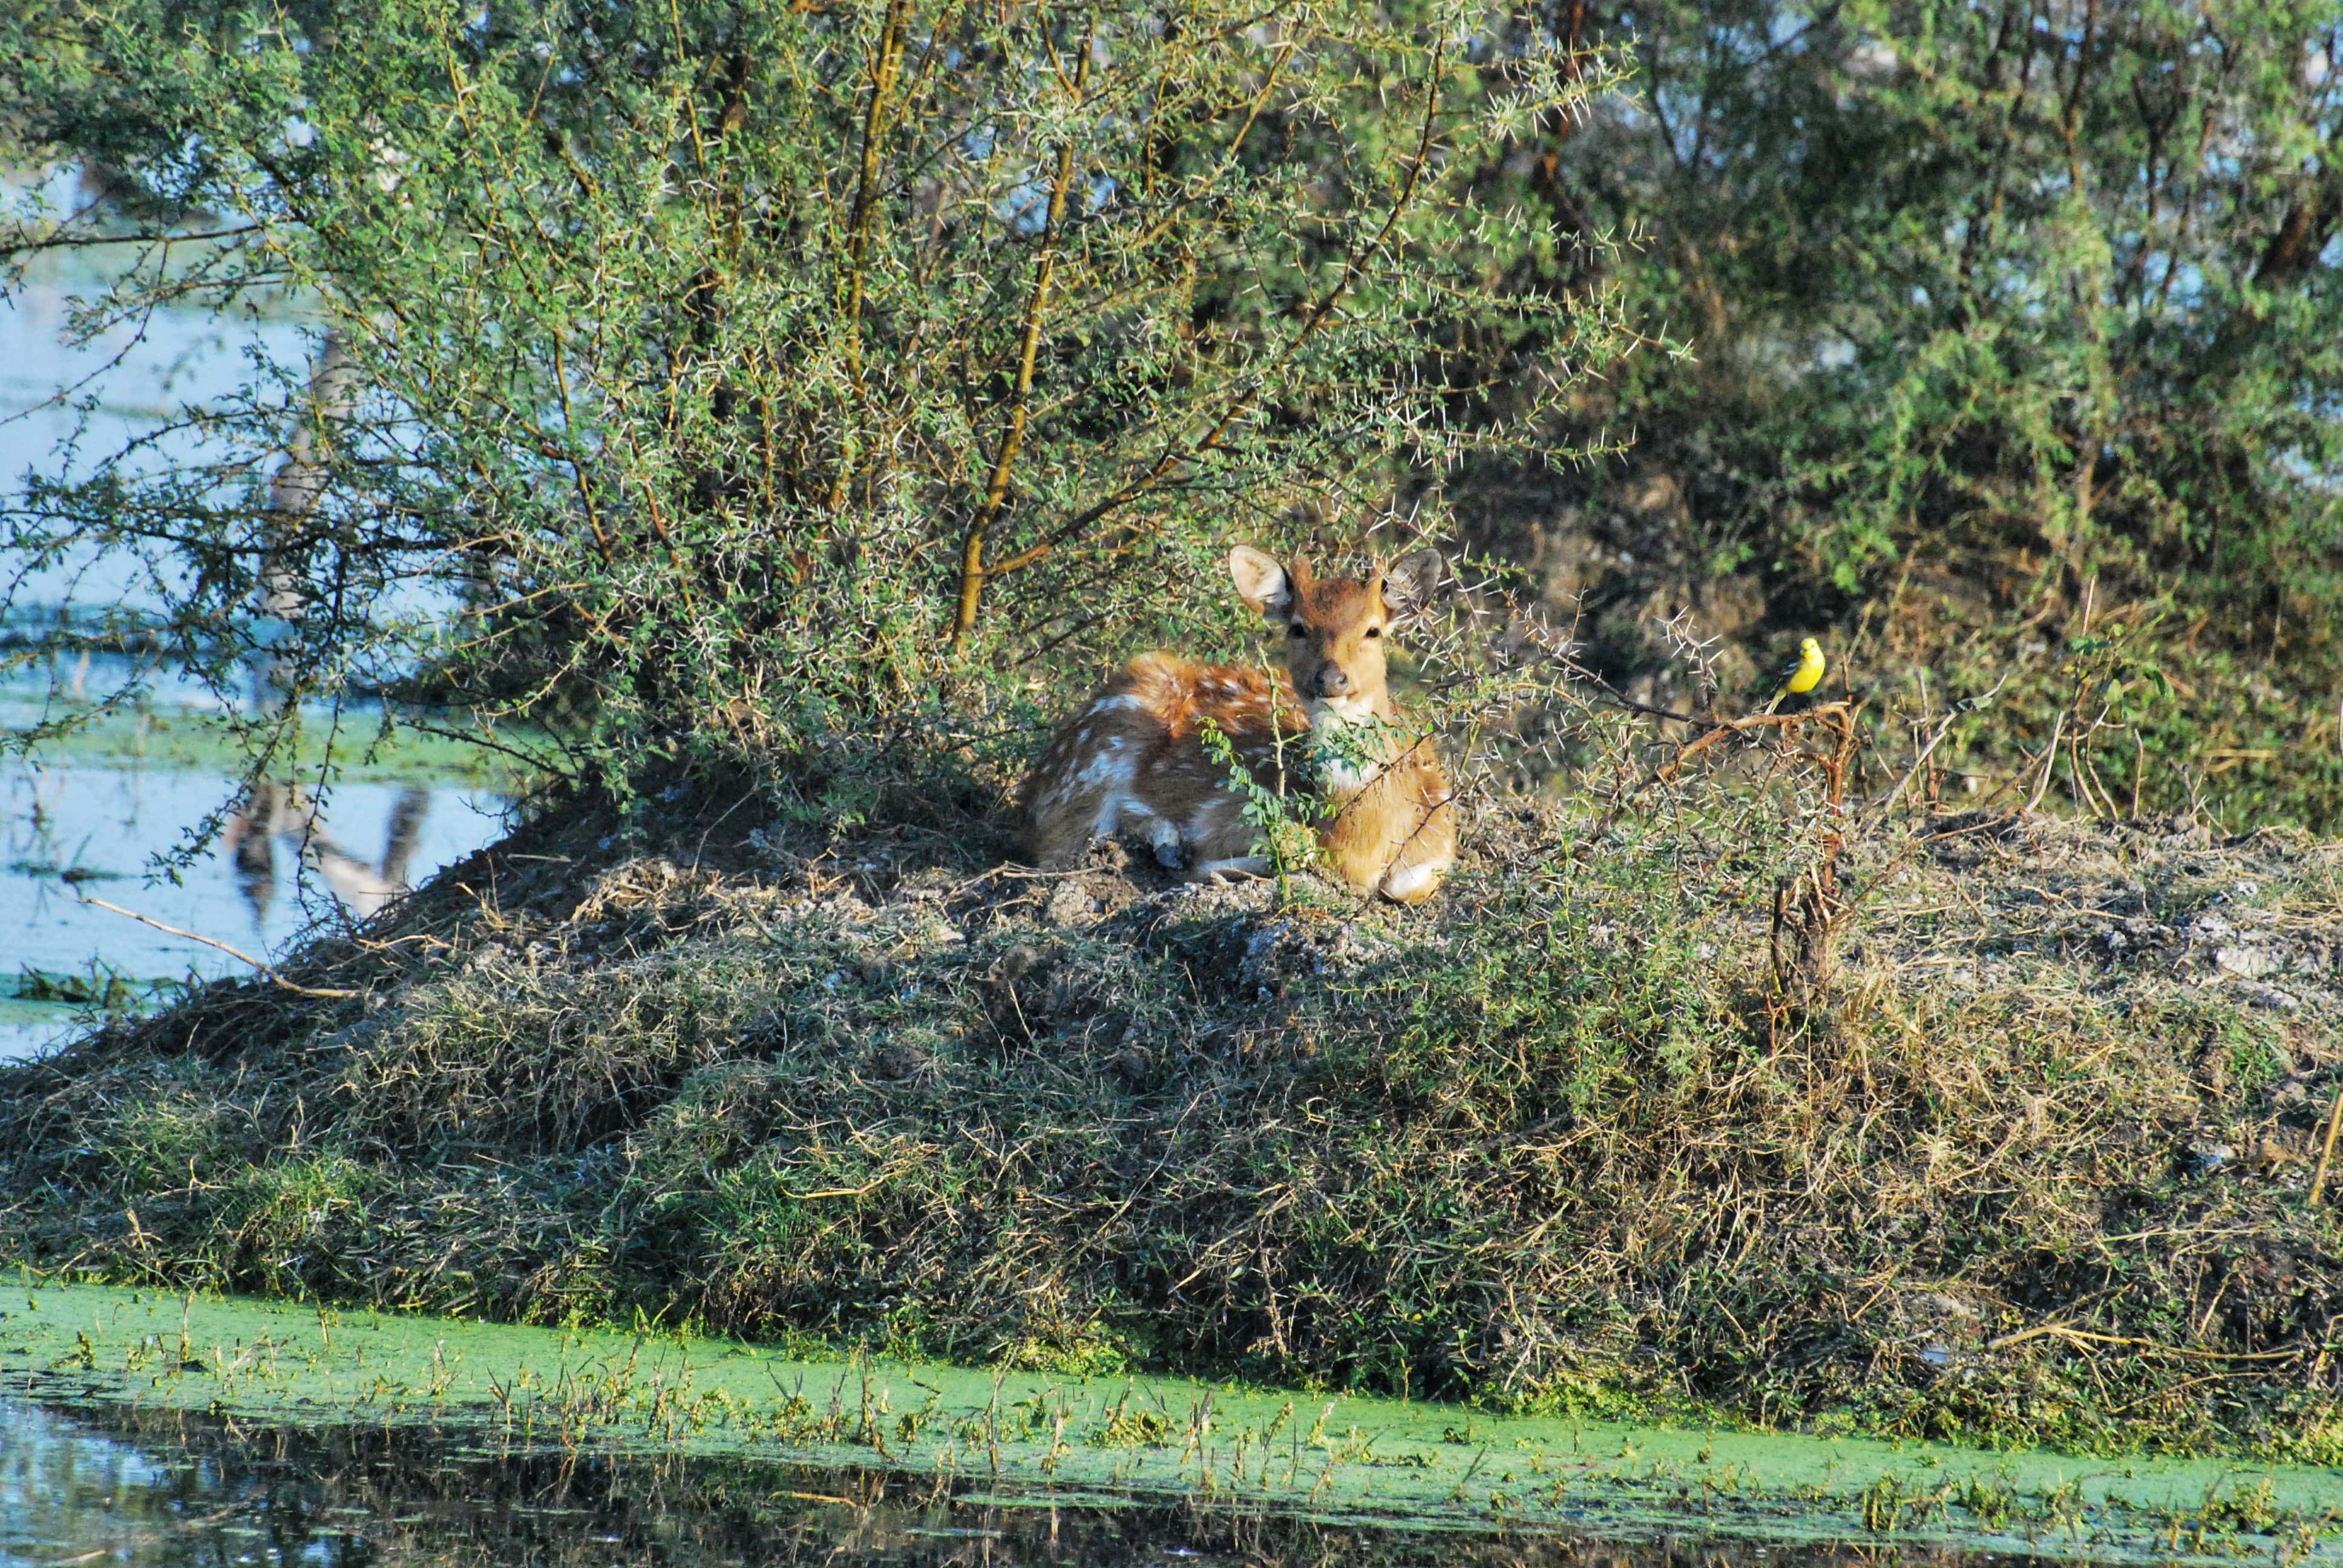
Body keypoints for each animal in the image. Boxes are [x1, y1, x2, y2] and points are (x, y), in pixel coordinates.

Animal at [1021, 543, 1452, 900]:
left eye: (1373, 630)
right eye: (1298, 628)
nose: (1331, 678)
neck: (1361, 844)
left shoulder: (1439, 837)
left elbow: (1407, 885)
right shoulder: (1226, 811)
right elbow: (1294, 845)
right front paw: (1208, 865)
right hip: (1094, 766)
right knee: (1061, 846)